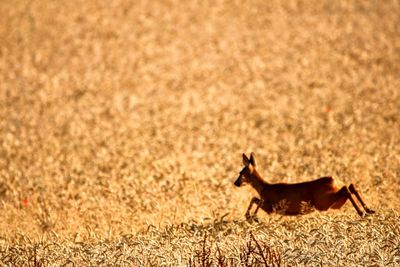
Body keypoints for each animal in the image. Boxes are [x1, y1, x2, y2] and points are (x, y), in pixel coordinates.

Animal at [234, 153, 376, 220]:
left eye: (241, 172)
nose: (236, 183)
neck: (264, 187)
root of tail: (334, 180)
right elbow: (255, 199)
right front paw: (251, 217)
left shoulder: (271, 207)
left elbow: (255, 199)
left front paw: (252, 217)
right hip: (334, 203)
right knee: (350, 186)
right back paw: (369, 210)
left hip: (322, 202)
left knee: (346, 189)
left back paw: (362, 212)